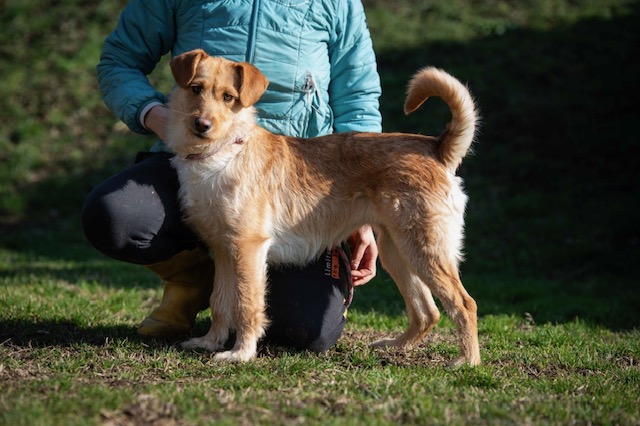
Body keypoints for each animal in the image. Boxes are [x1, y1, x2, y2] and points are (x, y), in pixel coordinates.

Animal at [165, 49, 480, 366]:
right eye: (196, 89)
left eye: (228, 97)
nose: (201, 125)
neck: (222, 155)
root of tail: (436, 148)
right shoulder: (222, 250)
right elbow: (219, 302)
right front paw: (209, 342)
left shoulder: (248, 248)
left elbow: (247, 305)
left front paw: (241, 353)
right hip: (397, 252)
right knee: (428, 312)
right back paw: (396, 345)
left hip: (425, 250)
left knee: (464, 304)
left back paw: (467, 361)